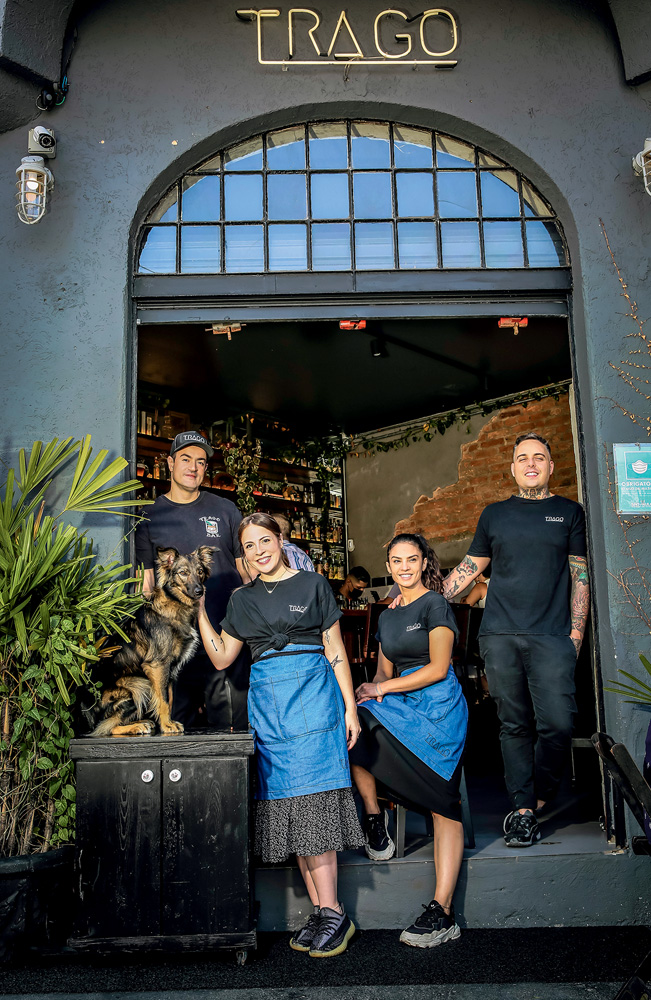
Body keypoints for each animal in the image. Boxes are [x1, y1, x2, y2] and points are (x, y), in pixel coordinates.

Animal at [88, 548, 214, 736]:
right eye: (183, 573)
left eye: (199, 571)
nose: (200, 591)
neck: (174, 603)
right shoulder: (157, 665)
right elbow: (163, 699)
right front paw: (167, 725)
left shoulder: (169, 670)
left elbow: (168, 698)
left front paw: (167, 722)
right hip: (138, 684)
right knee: (106, 727)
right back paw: (137, 726)